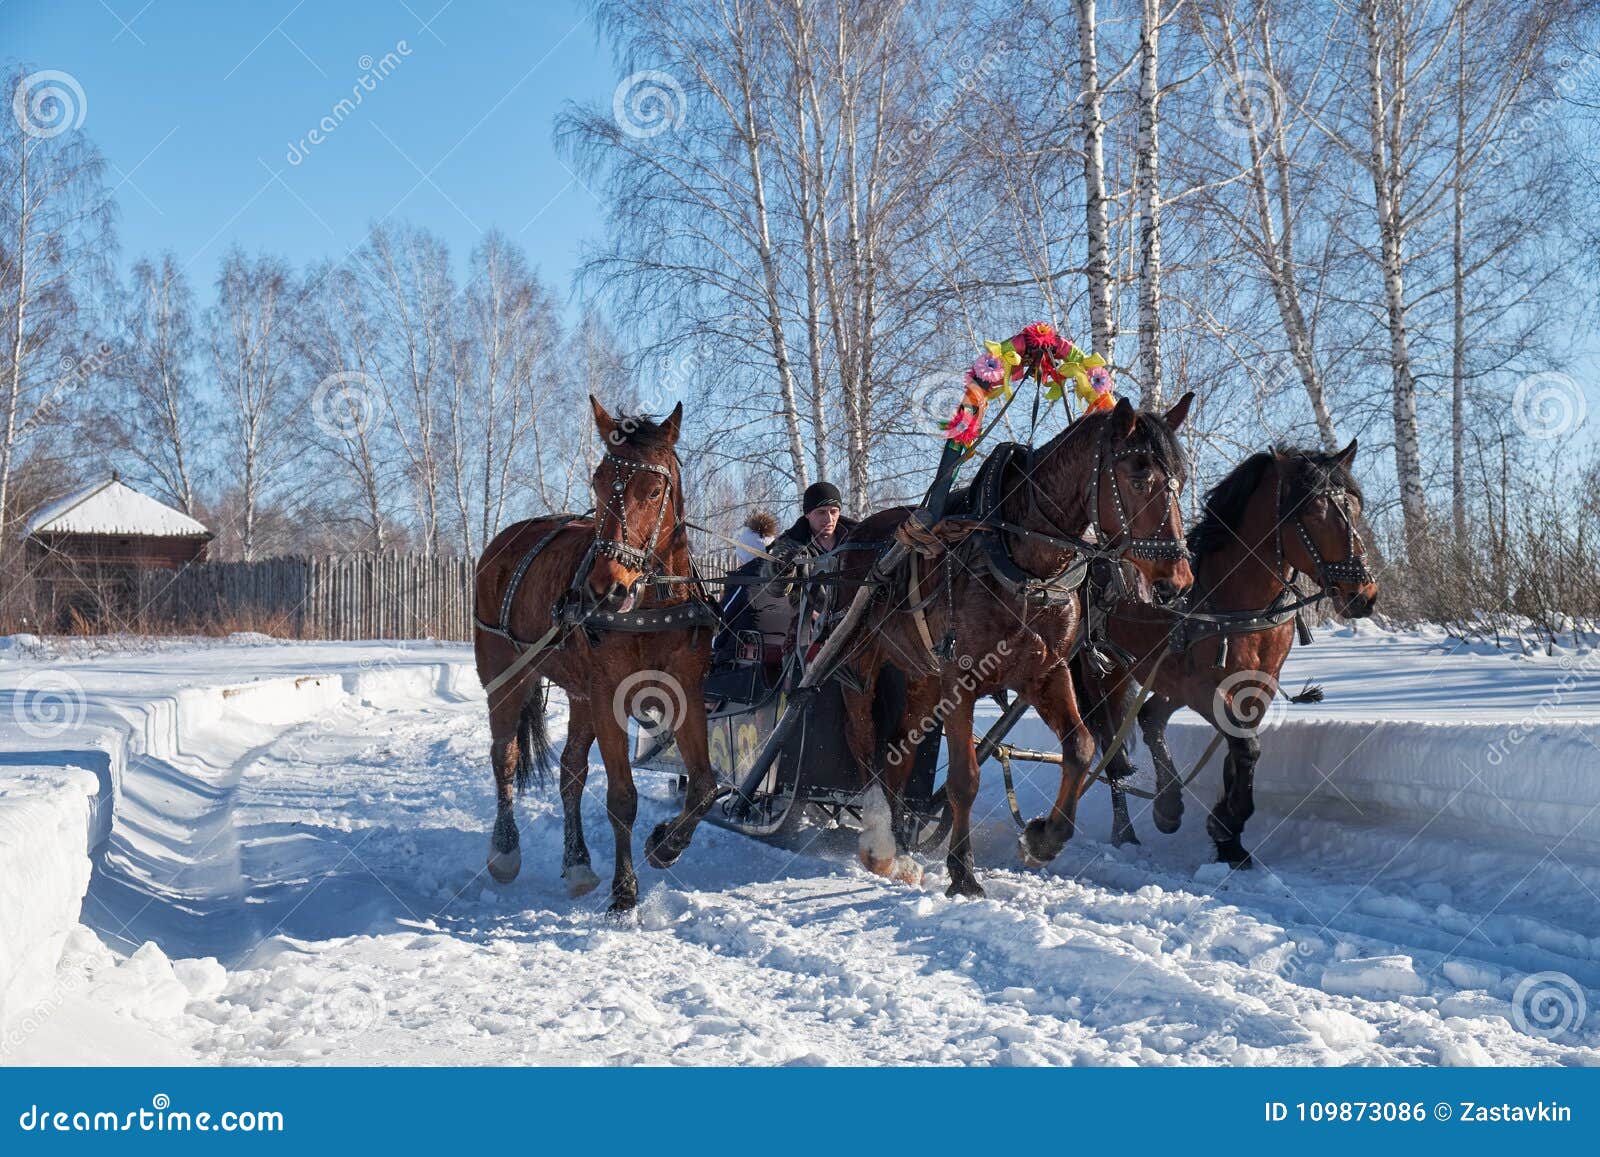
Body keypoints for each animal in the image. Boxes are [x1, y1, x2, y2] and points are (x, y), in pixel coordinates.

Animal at [473, 398, 720, 915]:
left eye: (654, 489)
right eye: (599, 481)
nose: (607, 588)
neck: (651, 604)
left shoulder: (685, 691)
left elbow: (705, 787)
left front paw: (665, 844)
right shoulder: (609, 696)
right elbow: (622, 796)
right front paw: (624, 890)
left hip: (580, 693)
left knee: (571, 771)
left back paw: (578, 861)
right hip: (504, 672)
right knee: (504, 755)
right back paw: (505, 850)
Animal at [838, 393, 1190, 902]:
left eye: (1181, 480)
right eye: (1139, 477)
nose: (1177, 581)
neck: (1024, 563)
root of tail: (853, 535)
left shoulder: (1046, 672)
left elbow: (1081, 747)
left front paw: (1044, 837)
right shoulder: (960, 680)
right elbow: (964, 779)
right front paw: (963, 871)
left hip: (923, 675)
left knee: (900, 749)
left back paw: (901, 846)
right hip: (858, 662)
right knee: (863, 739)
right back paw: (880, 840)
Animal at [1081, 438, 1382, 864]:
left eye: (1354, 507)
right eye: (1313, 511)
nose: (1363, 595)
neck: (1237, 602)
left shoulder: (1258, 684)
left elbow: (1239, 750)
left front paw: (1229, 837)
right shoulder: (1204, 688)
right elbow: (1246, 745)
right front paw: (1226, 824)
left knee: (1151, 718)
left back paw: (1167, 805)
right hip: (1106, 674)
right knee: (1112, 749)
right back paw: (1125, 832)